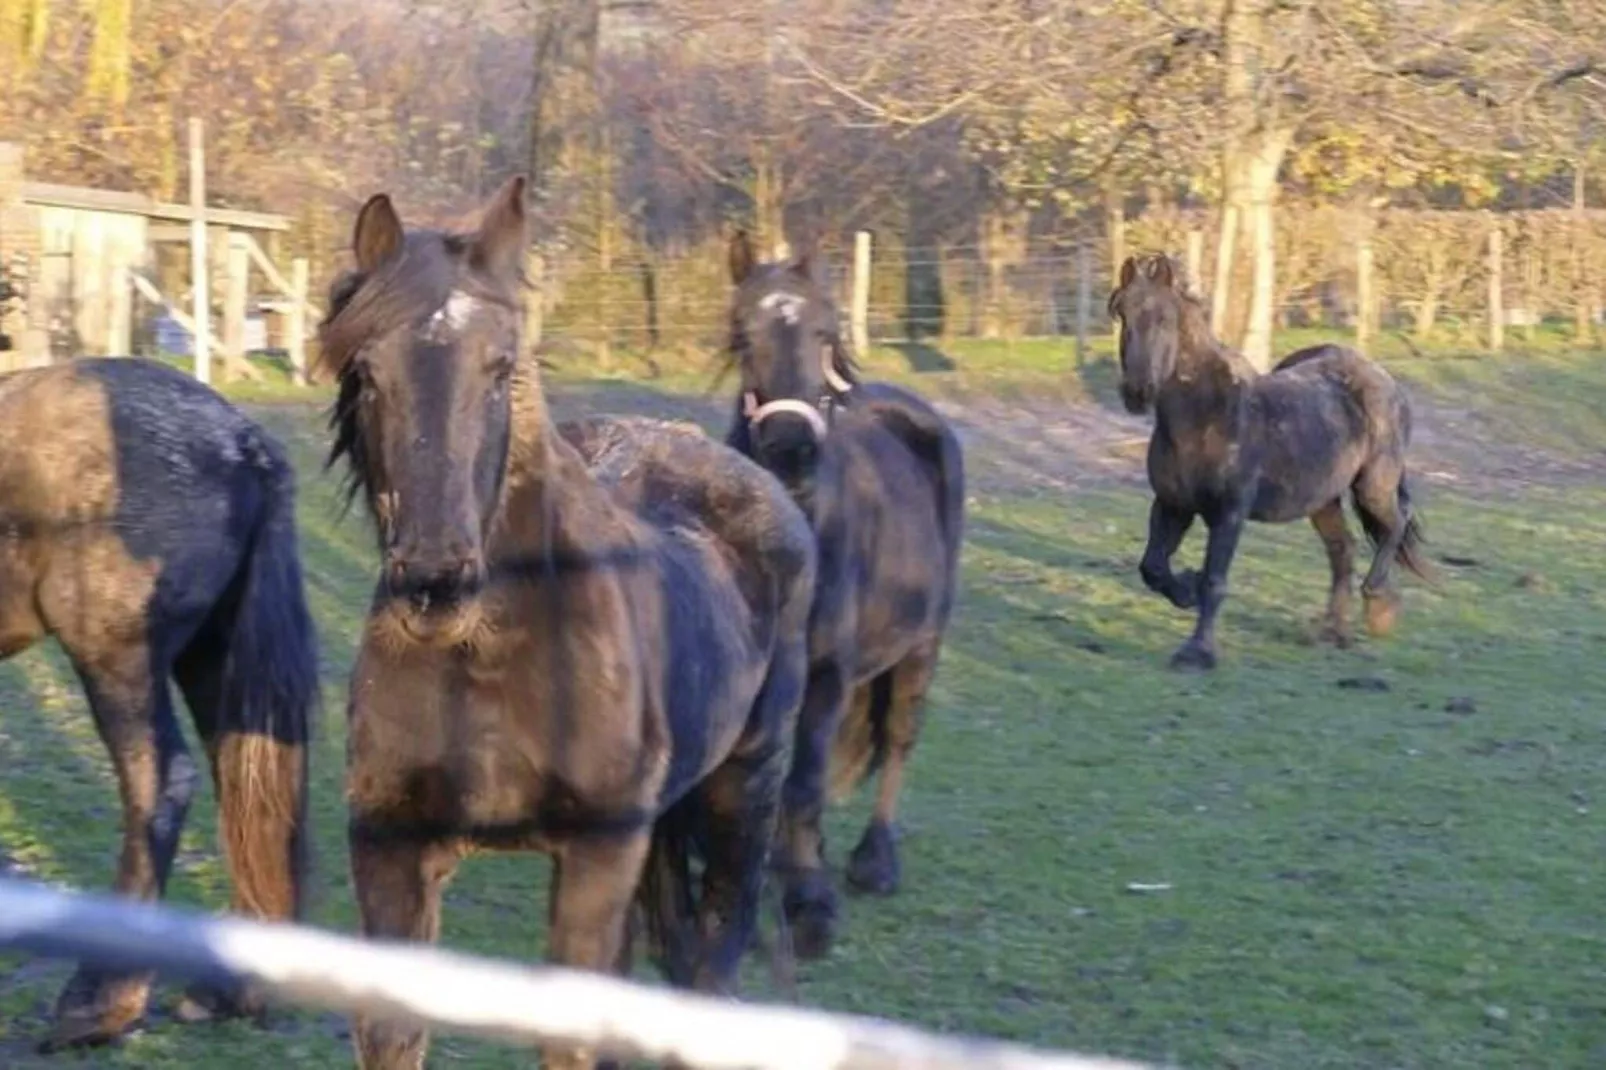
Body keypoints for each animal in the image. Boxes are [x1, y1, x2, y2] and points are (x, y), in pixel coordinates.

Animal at [0, 353, 317, 1047]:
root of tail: (242, 443)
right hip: (212, 658)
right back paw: (228, 994)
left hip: (117, 658)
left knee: (160, 783)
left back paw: (98, 1005)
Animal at [317, 176, 815, 1066]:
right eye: (368, 373)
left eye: (500, 367)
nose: (435, 584)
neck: (493, 661)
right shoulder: (390, 852)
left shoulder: (594, 857)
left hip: (745, 792)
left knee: (709, 965)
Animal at [719, 229, 963, 951]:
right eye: (741, 336)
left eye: (825, 333)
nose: (792, 450)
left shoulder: (827, 671)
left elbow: (803, 780)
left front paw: (810, 901)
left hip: (922, 646)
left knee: (900, 738)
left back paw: (872, 860)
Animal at [1104, 250, 1432, 668]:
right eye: (1121, 313)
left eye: (1164, 317)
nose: (1137, 391)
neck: (1203, 418)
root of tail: (1384, 380)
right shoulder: (1173, 505)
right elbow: (1154, 568)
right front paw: (1187, 589)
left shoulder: (1229, 512)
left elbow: (1215, 580)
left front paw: (1198, 652)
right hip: (1322, 500)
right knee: (1343, 550)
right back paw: (1332, 631)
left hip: (1373, 485)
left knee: (1394, 525)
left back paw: (1378, 606)